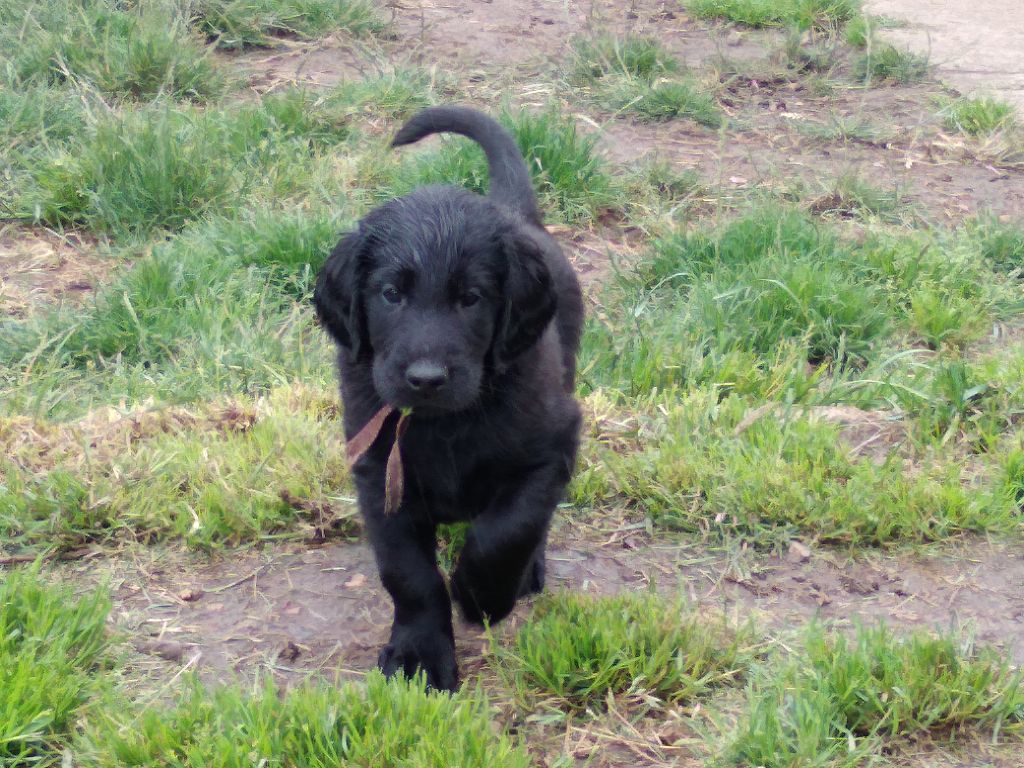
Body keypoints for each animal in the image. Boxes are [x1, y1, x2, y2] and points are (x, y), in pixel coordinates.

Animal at [311, 105, 585, 688]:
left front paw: (482, 596)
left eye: (471, 298)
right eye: (391, 294)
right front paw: (419, 654)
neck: (446, 423)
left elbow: (510, 529)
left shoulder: (551, 447)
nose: (426, 378)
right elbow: (408, 572)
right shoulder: (379, 473)